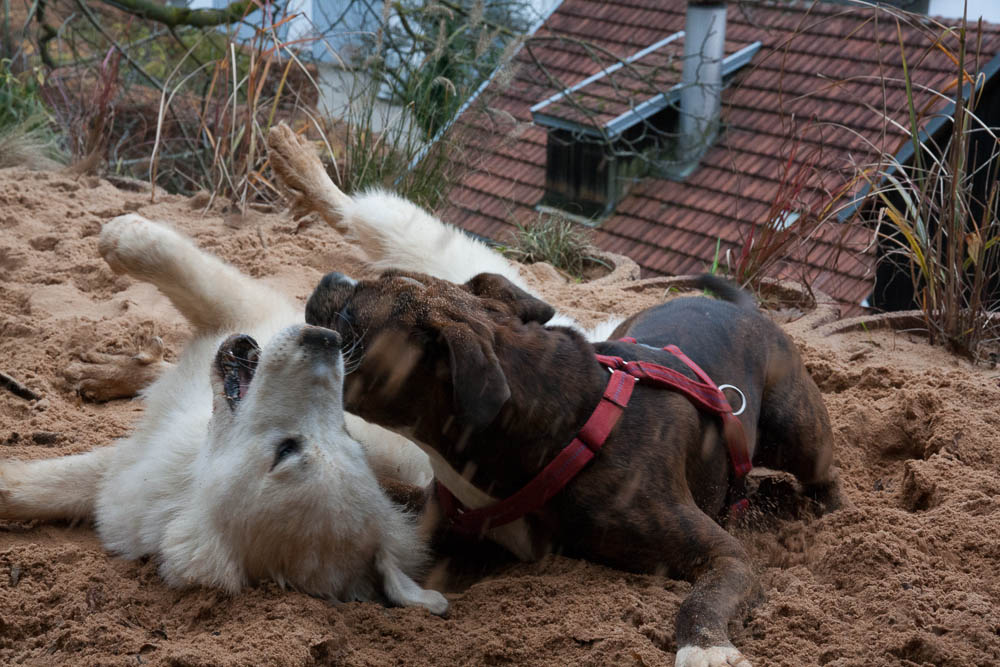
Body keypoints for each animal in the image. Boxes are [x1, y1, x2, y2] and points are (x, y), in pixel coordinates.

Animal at [0, 218, 446, 616]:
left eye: (285, 451)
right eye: (352, 438)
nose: (325, 339)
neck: (190, 477)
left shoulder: (138, 476)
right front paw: (126, 236)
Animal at [308, 268, 840, 664]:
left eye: (351, 315)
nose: (331, 276)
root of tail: (746, 309)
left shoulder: (727, 556)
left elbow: (702, 598)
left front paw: (705, 650)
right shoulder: (435, 525)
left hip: (798, 432)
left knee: (822, 476)